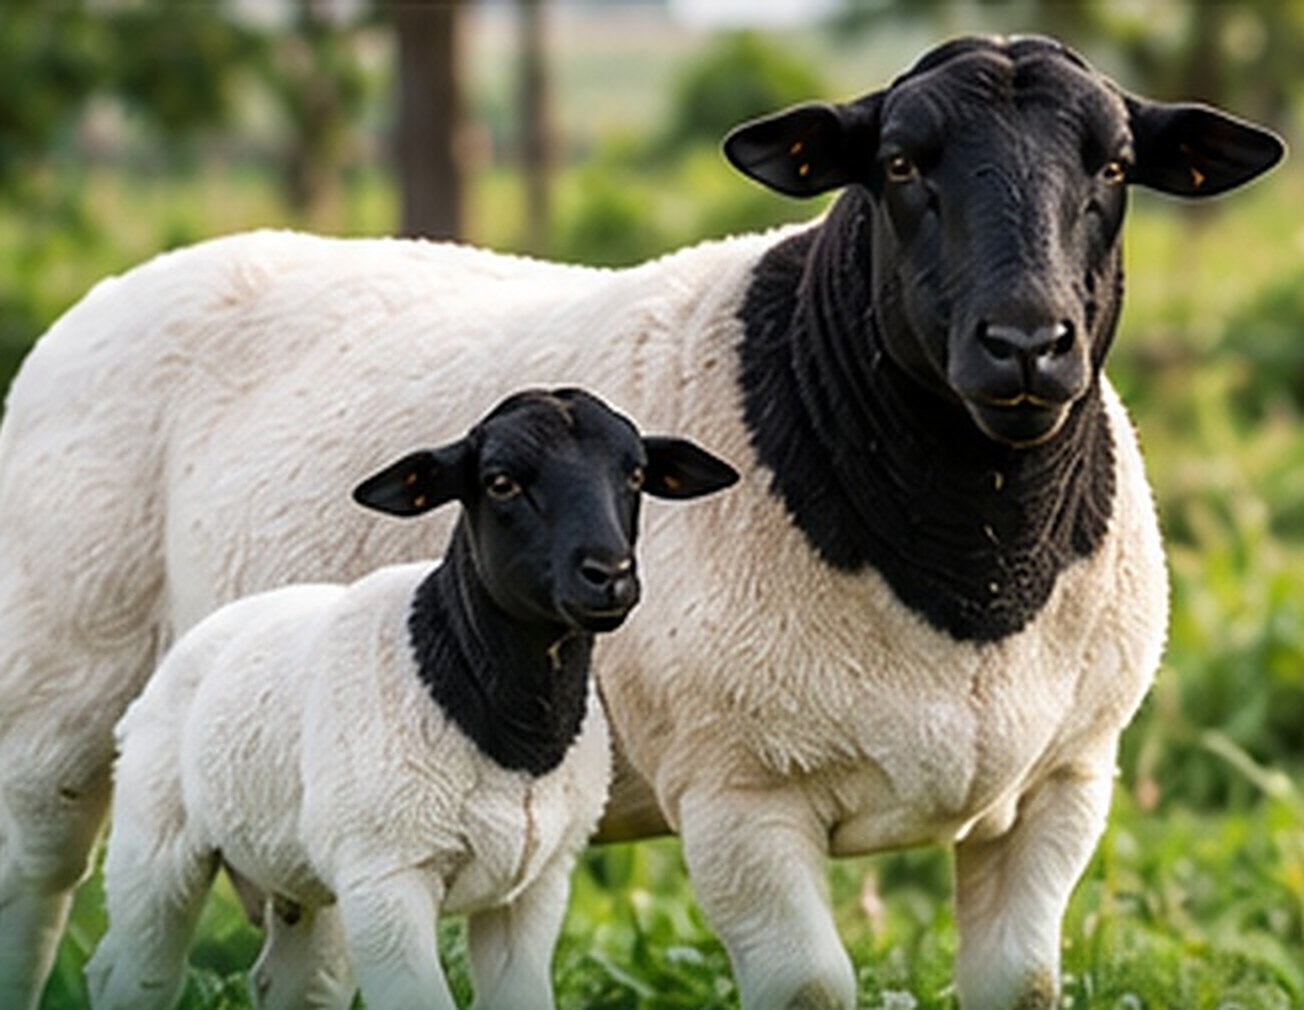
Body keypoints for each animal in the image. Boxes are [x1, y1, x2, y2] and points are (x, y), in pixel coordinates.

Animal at [83, 387, 739, 1010]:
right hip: (155, 841)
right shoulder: (388, 878)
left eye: (635, 475)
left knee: (289, 983)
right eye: (500, 482)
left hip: (298, 873)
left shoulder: (534, 887)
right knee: (136, 973)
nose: (611, 574)